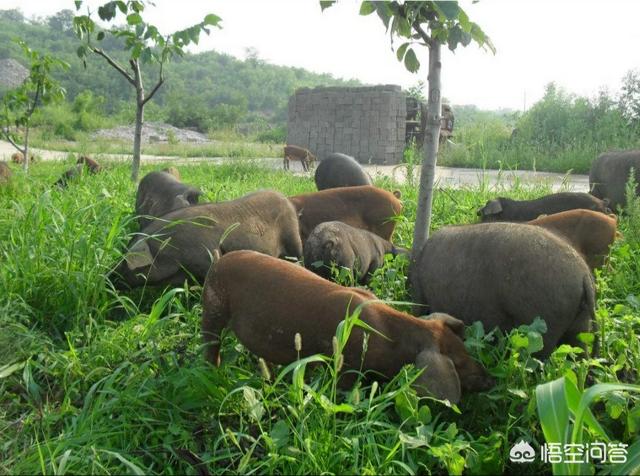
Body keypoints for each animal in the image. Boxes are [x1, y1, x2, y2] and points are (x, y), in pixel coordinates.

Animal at [202, 251, 492, 404]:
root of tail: (219, 259)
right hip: (212, 309)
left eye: (465, 350)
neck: (392, 339)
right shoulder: (347, 364)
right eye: (458, 363)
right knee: (210, 346)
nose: (490, 379)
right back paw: (213, 374)